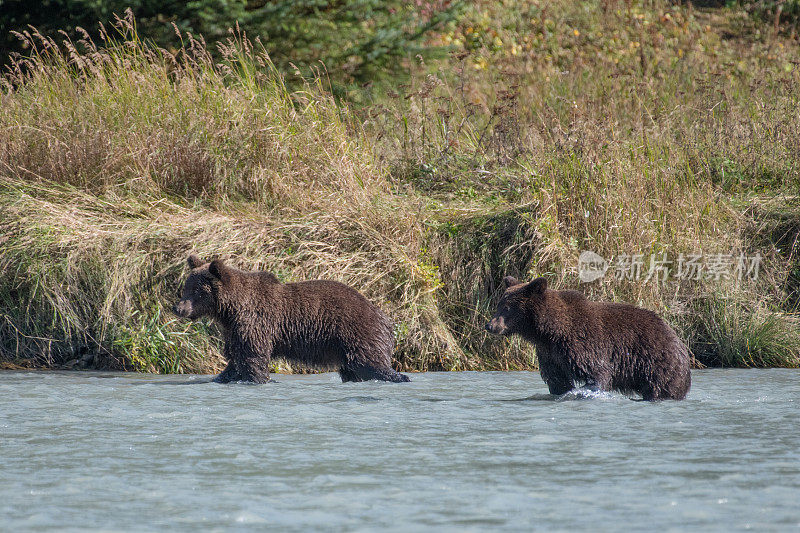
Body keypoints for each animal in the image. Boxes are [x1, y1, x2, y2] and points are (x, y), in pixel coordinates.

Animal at [176, 255, 412, 382]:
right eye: (186, 287)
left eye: (197, 291)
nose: (178, 308)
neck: (231, 309)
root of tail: (384, 317)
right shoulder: (234, 329)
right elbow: (236, 359)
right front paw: (221, 377)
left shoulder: (255, 322)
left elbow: (252, 358)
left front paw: (259, 378)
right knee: (354, 370)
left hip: (358, 332)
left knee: (371, 363)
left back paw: (400, 377)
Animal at [484, 274, 692, 400]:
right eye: (499, 305)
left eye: (507, 308)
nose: (490, 325)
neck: (548, 332)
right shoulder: (550, 354)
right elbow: (557, 380)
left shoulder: (582, 344)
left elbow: (597, 373)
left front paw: (581, 391)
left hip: (658, 363)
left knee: (662, 387)